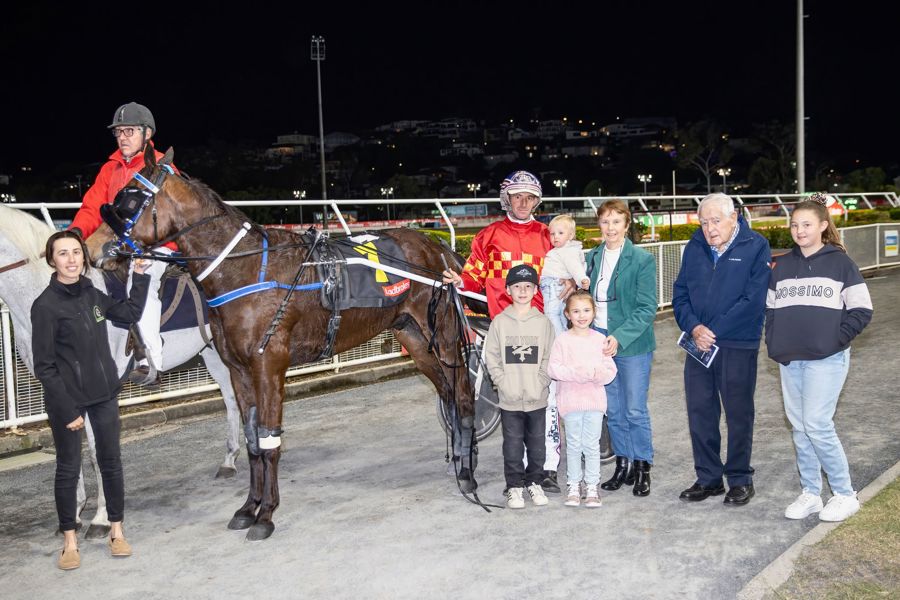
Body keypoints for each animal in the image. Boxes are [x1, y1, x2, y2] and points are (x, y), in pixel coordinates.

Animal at [0, 203, 242, 537]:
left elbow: (95, 452)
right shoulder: (57, 392)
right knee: (232, 401)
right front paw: (74, 514)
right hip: (212, 354)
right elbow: (69, 449)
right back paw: (230, 461)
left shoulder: (99, 392)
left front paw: (101, 519)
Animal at [86, 147, 477, 541]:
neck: (243, 270)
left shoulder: (269, 364)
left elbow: (268, 438)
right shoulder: (239, 370)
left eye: (129, 199)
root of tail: (438, 247)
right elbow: (252, 440)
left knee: (461, 392)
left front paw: (267, 514)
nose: (92, 248)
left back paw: (467, 474)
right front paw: (248, 508)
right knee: (446, 392)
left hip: (443, 334)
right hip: (414, 338)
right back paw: (460, 457)